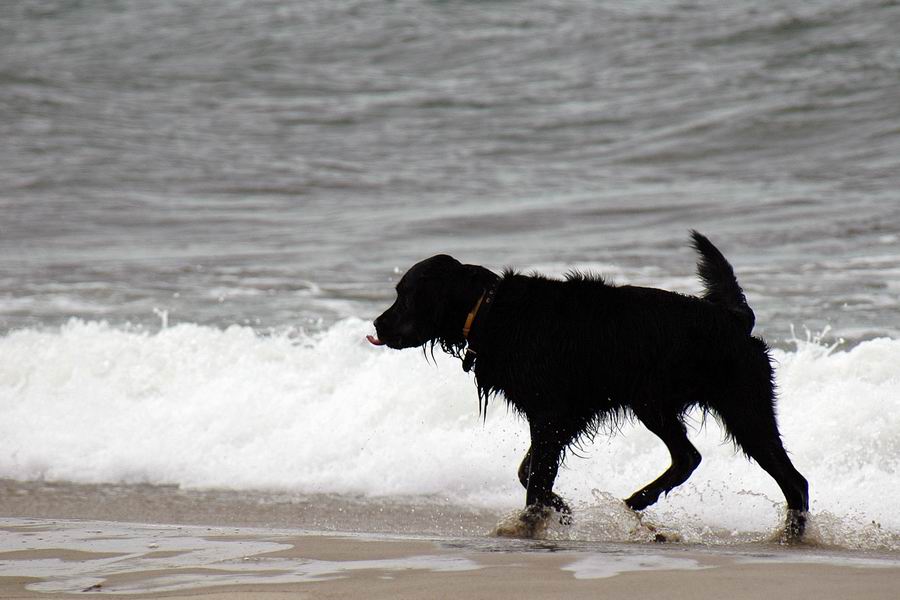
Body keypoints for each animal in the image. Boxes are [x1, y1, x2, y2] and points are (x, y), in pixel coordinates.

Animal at [366, 230, 808, 540]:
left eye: (404, 295)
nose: (376, 325)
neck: (490, 310)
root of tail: (734, 319)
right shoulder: (562, 417)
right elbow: (529, 471)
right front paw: (559, 509)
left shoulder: (551, 415)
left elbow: (534, 476)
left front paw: (530, 523)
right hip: (655, 405)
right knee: (688, 457)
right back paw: (637, 502)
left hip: (742, 409)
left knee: (793, 480)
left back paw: (791, 536)